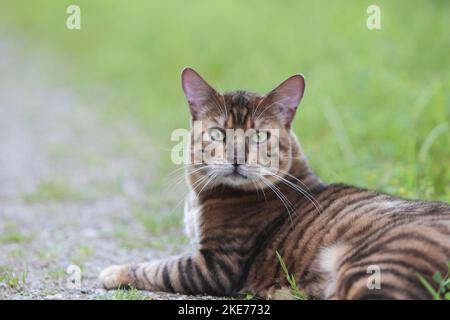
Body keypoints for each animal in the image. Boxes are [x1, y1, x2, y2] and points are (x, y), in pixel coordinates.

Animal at [101, 67, 450, 300]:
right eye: (218, 133)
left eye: (259, 136)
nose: (237, 156)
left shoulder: (216, 264)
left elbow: (159, 268)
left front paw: (114, 271)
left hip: (377, 267)